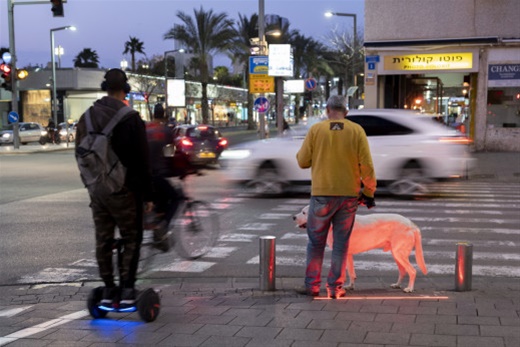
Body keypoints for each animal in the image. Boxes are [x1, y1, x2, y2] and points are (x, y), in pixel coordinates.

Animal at [292, 207, 426, 294]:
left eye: (304, 212)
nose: (293, 217)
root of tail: (412, 224)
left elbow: (343, 272)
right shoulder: (348, 254)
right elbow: (351, 273)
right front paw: (350, 286)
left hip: (399, 254)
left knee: (412, 271)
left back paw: (409, 288)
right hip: (396, 254)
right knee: (403, 271)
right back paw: (397, 285)